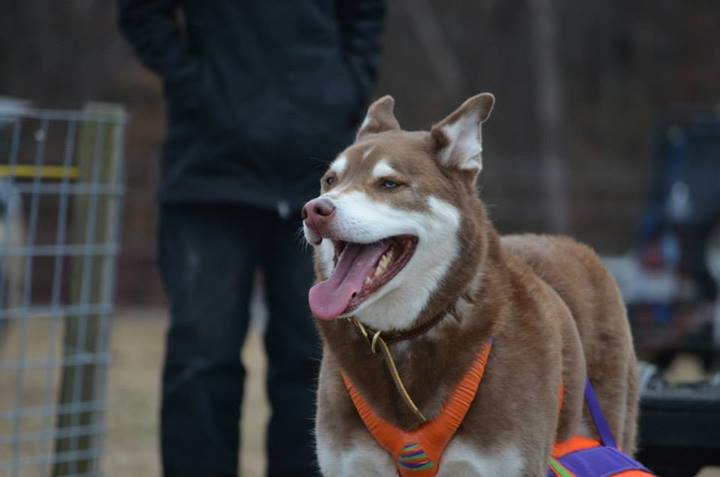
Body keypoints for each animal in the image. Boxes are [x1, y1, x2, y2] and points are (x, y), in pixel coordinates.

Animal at [300, 94, 640, 476]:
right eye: (330, 180)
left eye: (389, 184)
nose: (313, 210)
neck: (401, 340)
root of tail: (573, 245)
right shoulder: (351, 463)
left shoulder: (504, 462)